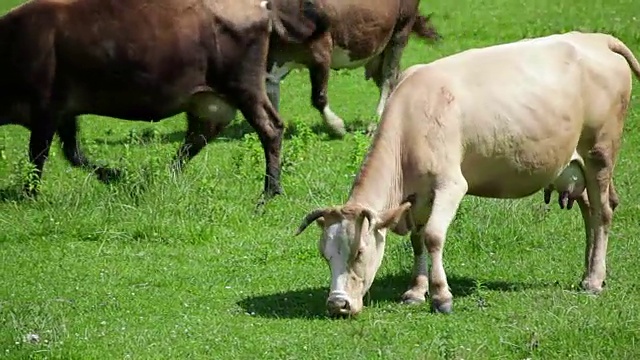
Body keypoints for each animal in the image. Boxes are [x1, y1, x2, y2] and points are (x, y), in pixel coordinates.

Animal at [0, 0, 328, 200]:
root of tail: (263, 8)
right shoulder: (64, 111)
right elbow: (73, 152)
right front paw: (115, 175)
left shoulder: (45, 109)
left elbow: (38, 156)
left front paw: (29, 194)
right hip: (211, 101)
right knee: (197, 138)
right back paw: (158, 178)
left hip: (244, 87)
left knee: (270, 128)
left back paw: (270, 190)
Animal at [264, 0, 440, 137]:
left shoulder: (320, 51)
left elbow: (319, 97)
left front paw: (337, 127)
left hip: (400, 29)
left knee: (388, 79)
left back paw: (374, 124)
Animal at [296, 32, 640, 316]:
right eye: (325, 254)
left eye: (360, 252)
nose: (337, 304)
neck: (412, 119)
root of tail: (597, 39)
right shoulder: (416, 197)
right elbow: (418, 239)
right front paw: (416, 291)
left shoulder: (450, 185)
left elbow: (433, 236)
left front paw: (441, 296)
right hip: (574, 165)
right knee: (590, 211)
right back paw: (590, 273)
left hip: (600, 153)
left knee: (603, 212)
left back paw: (594, 280)